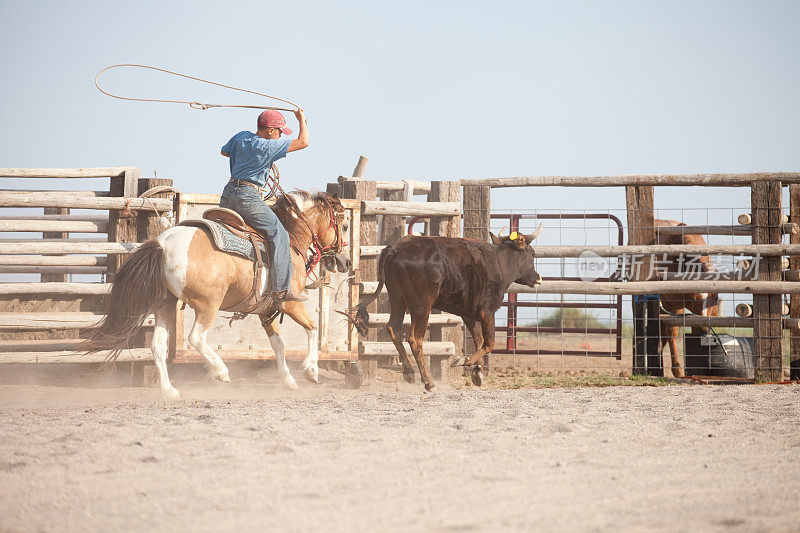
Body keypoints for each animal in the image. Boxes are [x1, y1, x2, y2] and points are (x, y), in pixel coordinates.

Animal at [86, 189, 346, 396]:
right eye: (343, 225)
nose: (343, 261)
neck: (291, 239)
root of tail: (164, 244)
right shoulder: (288, 303)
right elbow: (312, 328)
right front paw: (311, 371)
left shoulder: (266, 310)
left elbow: (278, 344)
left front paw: (289, 380)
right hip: (208, 304)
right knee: (196, 338)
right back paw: (221, 371)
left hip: (165, 303)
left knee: (158, 345)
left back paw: (170, 391)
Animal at [656, 218, 720, 376]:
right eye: (693, 297)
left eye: (715, 298)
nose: (704, 328)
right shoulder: (670, 307)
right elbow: (671, 333)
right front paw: (677, 370)